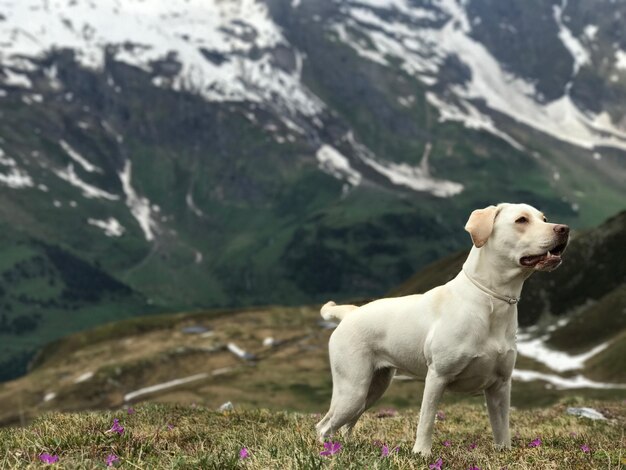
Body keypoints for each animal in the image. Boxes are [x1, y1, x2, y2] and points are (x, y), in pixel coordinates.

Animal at [314, 202, 568, 456]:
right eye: (521, 220)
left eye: (544, 218)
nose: (564, 229)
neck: (491, 302)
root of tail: (349, 314)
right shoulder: (437, 377)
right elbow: (427, 420)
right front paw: (421, 453)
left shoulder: (500, 386)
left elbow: (502, 428)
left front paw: (504, 452)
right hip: (353, 390)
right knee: (324, 426)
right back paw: (329, 452)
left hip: (374, 388)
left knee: (345, 424)